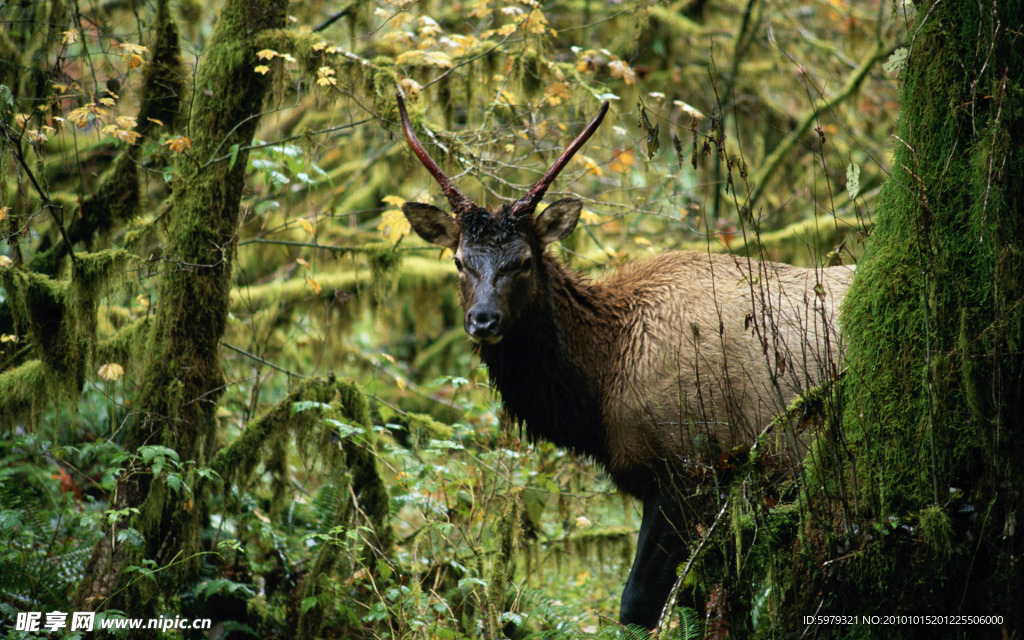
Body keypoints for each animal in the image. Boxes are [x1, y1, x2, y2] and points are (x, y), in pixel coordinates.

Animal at [395, 92, 851, 626]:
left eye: (524, 260)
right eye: (459, 261)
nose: (483, 319)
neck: (600, 391)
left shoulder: (690, 466)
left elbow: (639, 604)